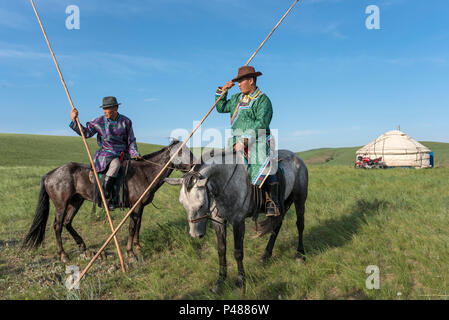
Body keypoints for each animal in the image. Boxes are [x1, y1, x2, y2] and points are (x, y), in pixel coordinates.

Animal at [22, 139, 194, 262]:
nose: (195, 165)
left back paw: (82, 245)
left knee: (67, 222)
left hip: (76, 201)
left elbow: (138, 226)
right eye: (181, 152)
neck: (144, 173)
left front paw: (138, 248)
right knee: (58, 226)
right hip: (61, 205)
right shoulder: (135, 207)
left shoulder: (140, 207)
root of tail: (50, 174)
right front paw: (131, 253)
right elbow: (132, 228)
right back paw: (63, 255)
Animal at [164, 150, 308, 292]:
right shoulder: (218, 220)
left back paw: (300, 254)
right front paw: (220, 280)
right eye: (182, 203)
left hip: (299, 198)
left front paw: (240, 281)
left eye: (201, 204)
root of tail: (297, 158)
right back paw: (266, 255)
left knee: (300, 224)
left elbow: (238, 252)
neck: (224, 181)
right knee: (276, 226)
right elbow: (221, 250)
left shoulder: (238, 222)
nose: (195, 235)